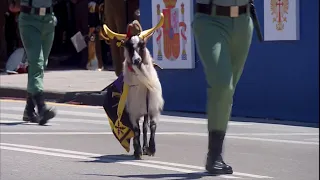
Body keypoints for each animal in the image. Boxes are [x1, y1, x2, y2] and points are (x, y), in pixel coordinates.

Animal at [102, 13, 165, 159]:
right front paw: (138, 152)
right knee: (140, 129)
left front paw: (151, 149)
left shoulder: (153, 108)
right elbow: (136, 130)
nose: (137, 60)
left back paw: (146, 147)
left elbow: (152, 127)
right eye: (128, 46)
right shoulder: (132, 112)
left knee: (145, 127)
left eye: (142, 45)